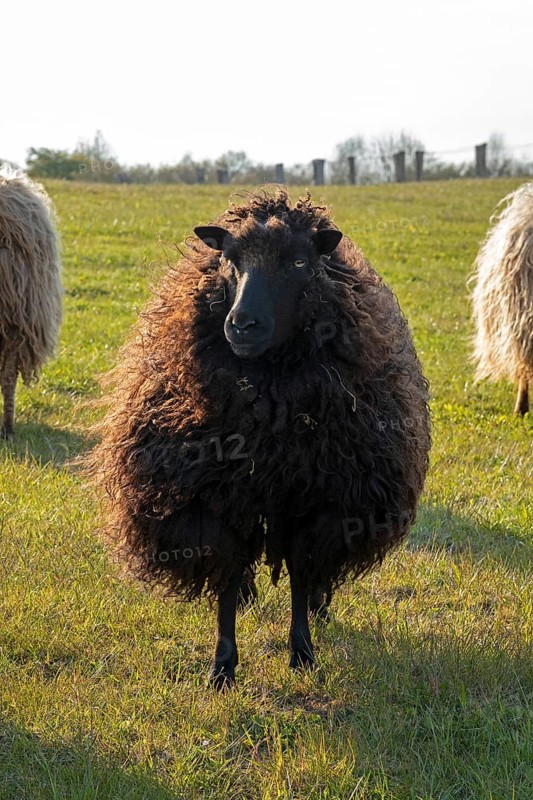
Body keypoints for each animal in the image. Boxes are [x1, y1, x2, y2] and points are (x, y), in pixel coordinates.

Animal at [90, 188, 431, 689]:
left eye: (299, 262)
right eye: (229, 259)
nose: (242, 324)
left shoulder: (316, 502)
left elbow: (302, 572)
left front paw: (303, 651)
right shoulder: (220, 497)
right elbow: (229, 576)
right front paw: (223, 666)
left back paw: (321, 605)